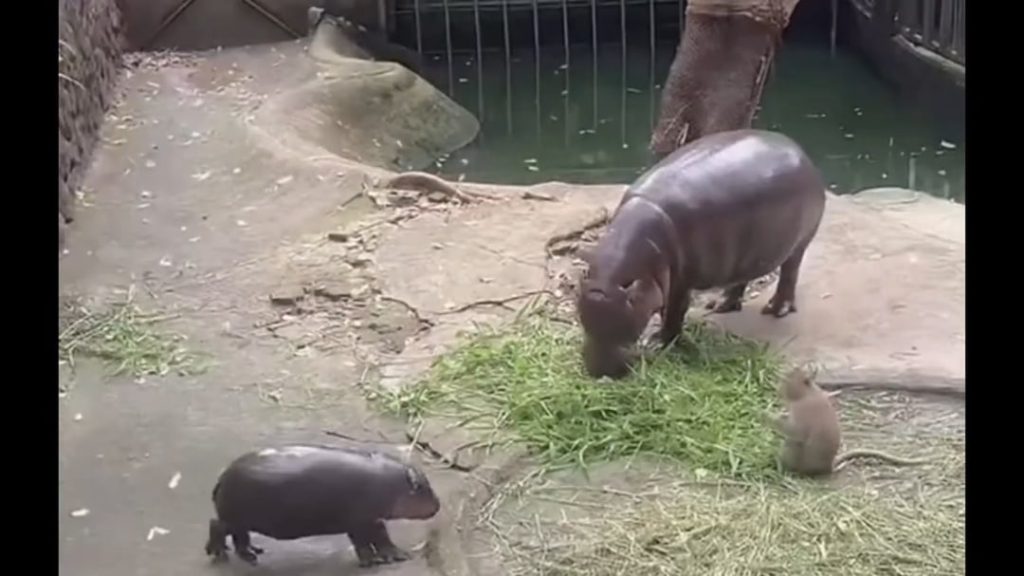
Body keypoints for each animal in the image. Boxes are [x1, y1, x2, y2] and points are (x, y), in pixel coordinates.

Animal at [204, 444, 440, 565]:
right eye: (424, 487)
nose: (438, 505)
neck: (395, 484)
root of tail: (222, 476)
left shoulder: (373, 518)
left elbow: (382, 538)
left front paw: (399, 556)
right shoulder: (358, 521)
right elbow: (362, 543)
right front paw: (371, 562)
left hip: (241, 521)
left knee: (239, 537)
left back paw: (253, 553)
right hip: (235, 517)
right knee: (216, 526)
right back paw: (221, 555)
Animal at [581, 129, 827, 377]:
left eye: (621, 327)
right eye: (584, 322)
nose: (598, 371)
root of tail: (799, 150)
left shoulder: (680, 281)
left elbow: (674, 312)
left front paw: (660, 343)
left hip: (800, 242)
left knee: (790, 272)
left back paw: (776, 309)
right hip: (748, 253)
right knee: (741, 279)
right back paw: (720, 305)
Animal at [770, 364, 933, 473]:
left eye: (786, 380)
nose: (778, 390)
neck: (808, 392)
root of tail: (828, 466)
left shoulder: (801, 412)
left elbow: (797, 432)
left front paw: (768, 417)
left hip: (793, 452)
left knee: (792, 444)